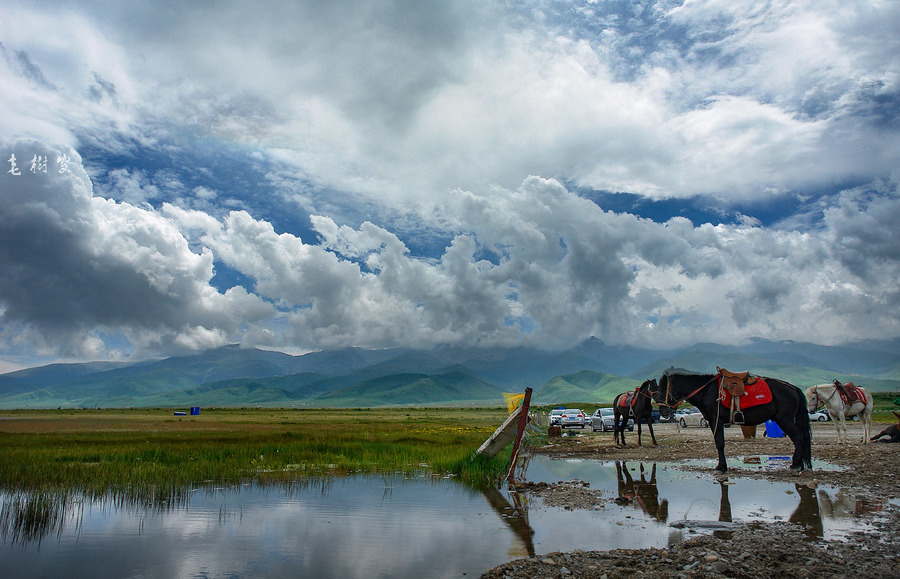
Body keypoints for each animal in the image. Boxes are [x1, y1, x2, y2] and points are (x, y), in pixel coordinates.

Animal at [652, 370, 812, 474]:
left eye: (663, 390)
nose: (663, 412)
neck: (706, 391)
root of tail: (793, 388)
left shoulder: (715, 420)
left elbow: (719, 443)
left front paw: (720, 467)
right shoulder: (715, 421)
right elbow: (720, 443)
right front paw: (723, 466)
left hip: (784, 418)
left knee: (799, 438)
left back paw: (795, 465)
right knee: (800, 438)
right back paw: (800, 465)